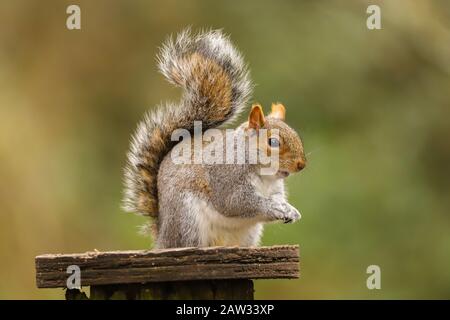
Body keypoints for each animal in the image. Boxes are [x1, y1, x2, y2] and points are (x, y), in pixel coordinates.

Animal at [123, 29, 306, 250]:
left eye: (295, 134)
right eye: (273, 142)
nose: (301, 165)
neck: (264, 174)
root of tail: (163, 238)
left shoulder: (275, 188)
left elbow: (278, 198)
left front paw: (289, 209)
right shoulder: (225, 179)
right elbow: (236, 202)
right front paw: (272, 208)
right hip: (187, 219)